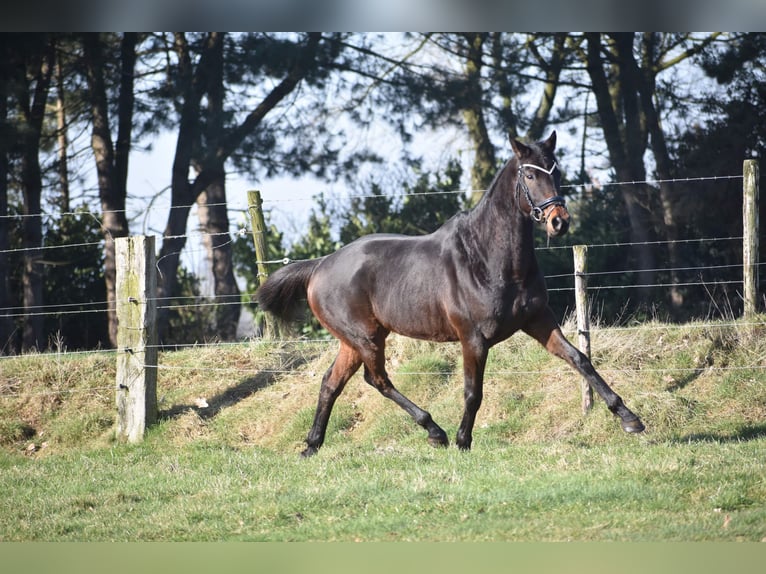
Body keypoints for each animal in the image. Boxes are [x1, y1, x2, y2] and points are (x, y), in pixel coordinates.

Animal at [260, 132, 648, 460]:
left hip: (354, 341)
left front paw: (630, 419)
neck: (490, 258)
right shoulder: (472, 338)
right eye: (529, 175)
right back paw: (435, 432)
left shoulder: (539, 321)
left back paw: (312, 445)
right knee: (377, 380)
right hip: (365, 338)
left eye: (556, 170)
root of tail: (321, 264)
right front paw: (463, 441)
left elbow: (580, 360)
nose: (559, 221)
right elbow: (473, 391)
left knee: (332, 383)